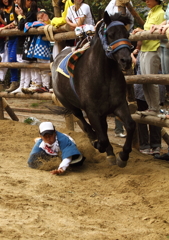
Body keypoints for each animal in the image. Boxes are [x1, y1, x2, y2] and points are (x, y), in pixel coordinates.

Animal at [51, 12, 136, 168]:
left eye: (127, 34)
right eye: (110, 34)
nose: (126, 61)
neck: (104, 76)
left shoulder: (119, 104)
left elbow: (130, 125)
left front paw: (123, 156)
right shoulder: (92, 111)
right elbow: (101, 138)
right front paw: (98, 144)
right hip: (69, 104)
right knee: (81, 120)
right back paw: (95, 139)